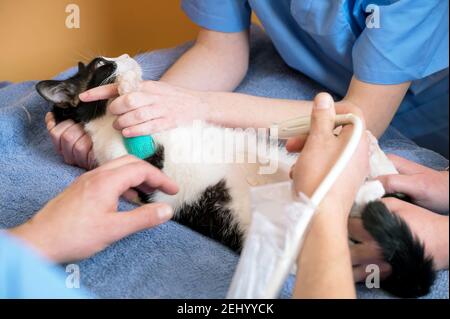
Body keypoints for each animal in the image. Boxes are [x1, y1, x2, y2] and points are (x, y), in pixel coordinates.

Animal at [36, 55, 436, 300]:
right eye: (102, 65)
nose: (126, 58)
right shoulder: (142, 169)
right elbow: (133, 154)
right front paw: (127, 89)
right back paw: (363, 189)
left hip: (282, 158)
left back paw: (370, 155)